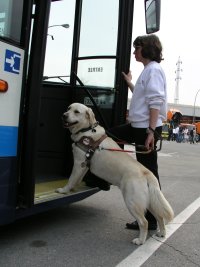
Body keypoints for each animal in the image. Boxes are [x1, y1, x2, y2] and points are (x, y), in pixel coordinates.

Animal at [56, 103, 173, 246]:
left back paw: (140, 240)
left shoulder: (78, 163)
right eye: (68, 108)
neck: (86, 131)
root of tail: (146, 173)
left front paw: (64, 190)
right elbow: (76, 180)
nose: (64, 115)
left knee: (144, 222)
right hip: (150, 201)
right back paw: (162, 233)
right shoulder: (83, 166)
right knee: (160, 217)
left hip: (131, 200)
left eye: (76, 112)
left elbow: (71, 179)